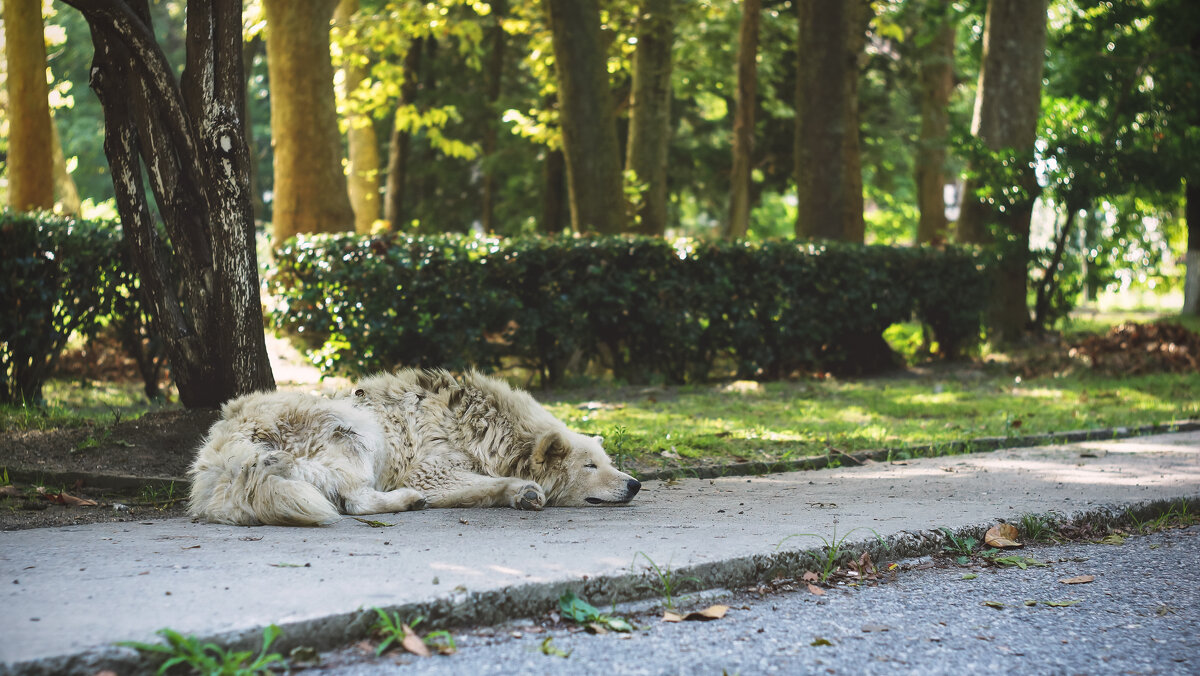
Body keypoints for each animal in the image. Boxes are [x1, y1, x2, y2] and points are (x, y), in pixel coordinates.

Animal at [186, 367, 643, 525]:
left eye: (608, 462)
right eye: (589, 467)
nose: (635, 484)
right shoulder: (431, 470)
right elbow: (485, 483)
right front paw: (522, 491)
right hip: (357, 429)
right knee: (354, 501)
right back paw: (406, 500)